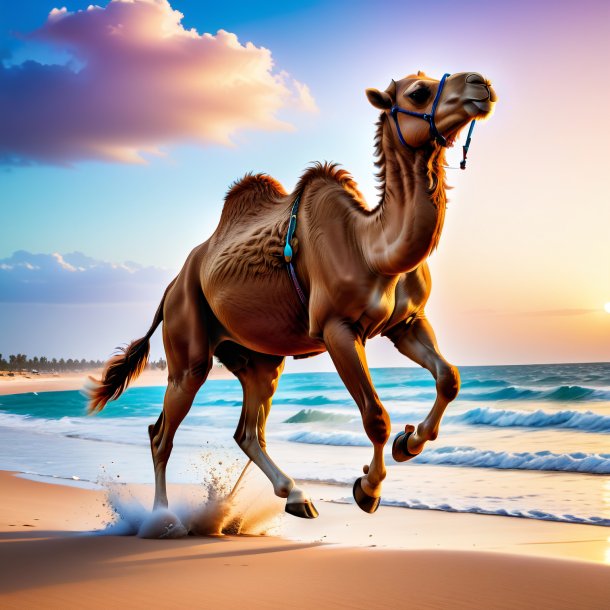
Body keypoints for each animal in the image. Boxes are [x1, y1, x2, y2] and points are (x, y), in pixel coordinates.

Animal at [89, 71, 494, 516]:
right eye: (418, 92)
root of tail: (170, 287)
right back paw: (163, 516)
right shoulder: (337, 327)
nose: (481, 84)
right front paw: (368, 490)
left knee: (247, 430)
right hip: (187, 339)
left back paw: (296, 496)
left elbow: (450, 377)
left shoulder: (405, 322)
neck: (372, 247)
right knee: (163, 430)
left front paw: (410, 442)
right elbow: (376, 417)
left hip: (259, 359)